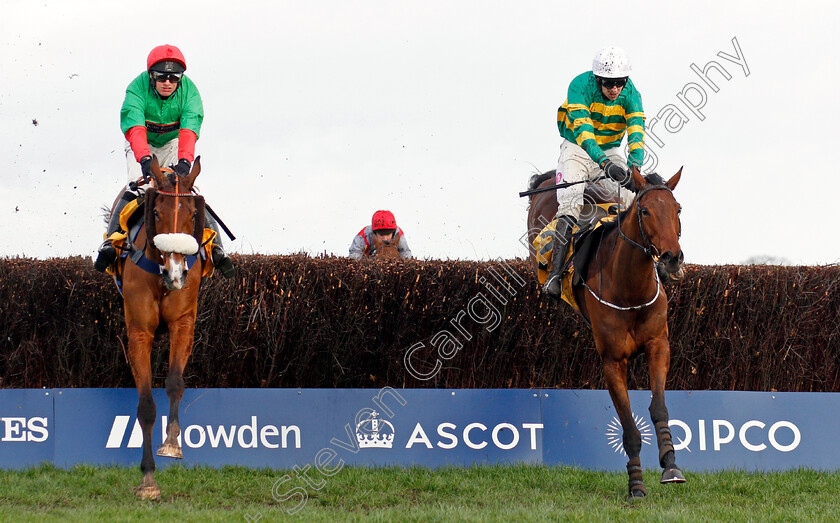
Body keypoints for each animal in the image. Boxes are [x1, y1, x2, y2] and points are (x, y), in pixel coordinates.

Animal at [115, 156, 208, 500]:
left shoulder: (183, 323)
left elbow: (175, 383)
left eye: (194, 213)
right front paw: (148, 479)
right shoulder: (139, 331)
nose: (176, 272)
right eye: (156, 212)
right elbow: (145, 406)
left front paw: (172, 443)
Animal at [528, 168, 684, 500]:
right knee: (568, 212)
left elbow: (659, 408)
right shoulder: (612, 361)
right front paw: (636, 483)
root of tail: (546, 179)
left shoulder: (658, 346)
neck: (631, 287)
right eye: (645, 210)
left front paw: (670, 464)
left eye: (677, 209)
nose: (671, 258)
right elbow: (628, 424)